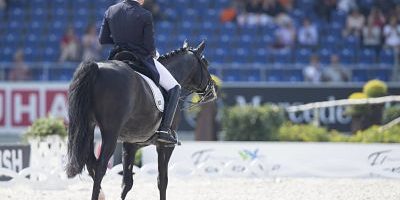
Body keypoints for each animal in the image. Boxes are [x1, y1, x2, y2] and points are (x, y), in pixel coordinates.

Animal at [66, 41, 217, 200]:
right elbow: (162, 180)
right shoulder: (165, 146)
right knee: (100, 167)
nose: (212, 91)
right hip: (110, 132)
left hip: (88, 128)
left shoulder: (131, 144)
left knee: (91, 164)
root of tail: (96, 67)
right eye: (206, 63)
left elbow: (127, 183)